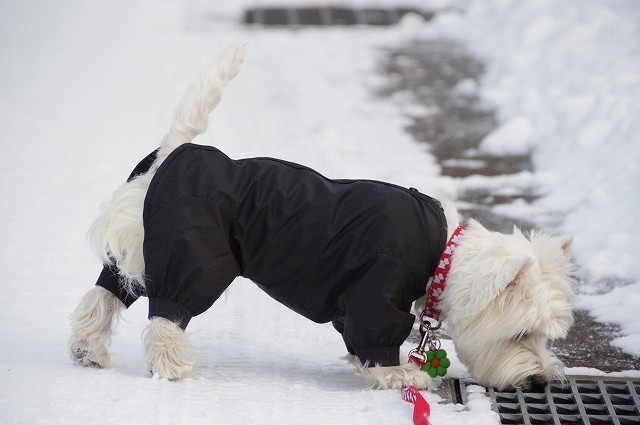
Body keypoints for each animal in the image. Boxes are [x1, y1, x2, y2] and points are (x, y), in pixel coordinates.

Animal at [69, 41, 576, 390]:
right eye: (522, 333)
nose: (543, 381)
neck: (443, 254)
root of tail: (174, 154)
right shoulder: (376, 293)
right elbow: (378, 340)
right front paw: (402, 377)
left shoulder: (352, 303)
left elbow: (355, 339)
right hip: (193, 256)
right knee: (166, 317)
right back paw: (172, 367)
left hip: (139, 251)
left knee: (103, 295)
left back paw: (87, 350)